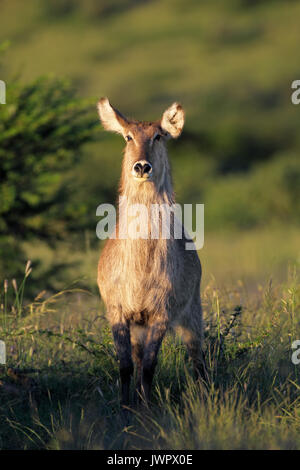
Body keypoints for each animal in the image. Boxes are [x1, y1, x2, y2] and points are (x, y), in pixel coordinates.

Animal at [96, 100, 206, 412]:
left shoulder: (161, 313)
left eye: (159, 136)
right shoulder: (118, 312)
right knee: (136, 357)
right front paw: (125, 408)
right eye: (127, 137)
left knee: (198, 357)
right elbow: (126, 366)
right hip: (139, 324)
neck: (140, 265)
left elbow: (149, 366)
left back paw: (207, 395)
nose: (142, 166)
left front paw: (146, 410)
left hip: (192, 313)